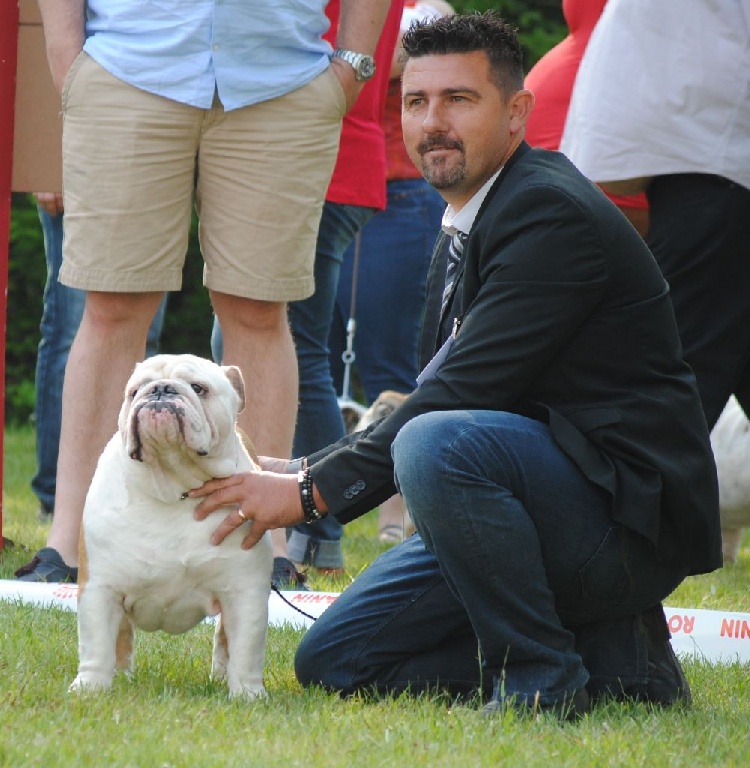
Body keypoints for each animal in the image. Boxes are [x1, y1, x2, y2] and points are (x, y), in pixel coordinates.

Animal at [71, 352, 274, 696]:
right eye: (135, 390)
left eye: (199, 388)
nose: (161, 389)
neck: (173, 487)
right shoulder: (100, 587)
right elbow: (96, 643)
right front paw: (89, 688)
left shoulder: (245, 592)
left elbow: (246, 649)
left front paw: (248, 694)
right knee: (121, 638)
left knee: (224, 642)